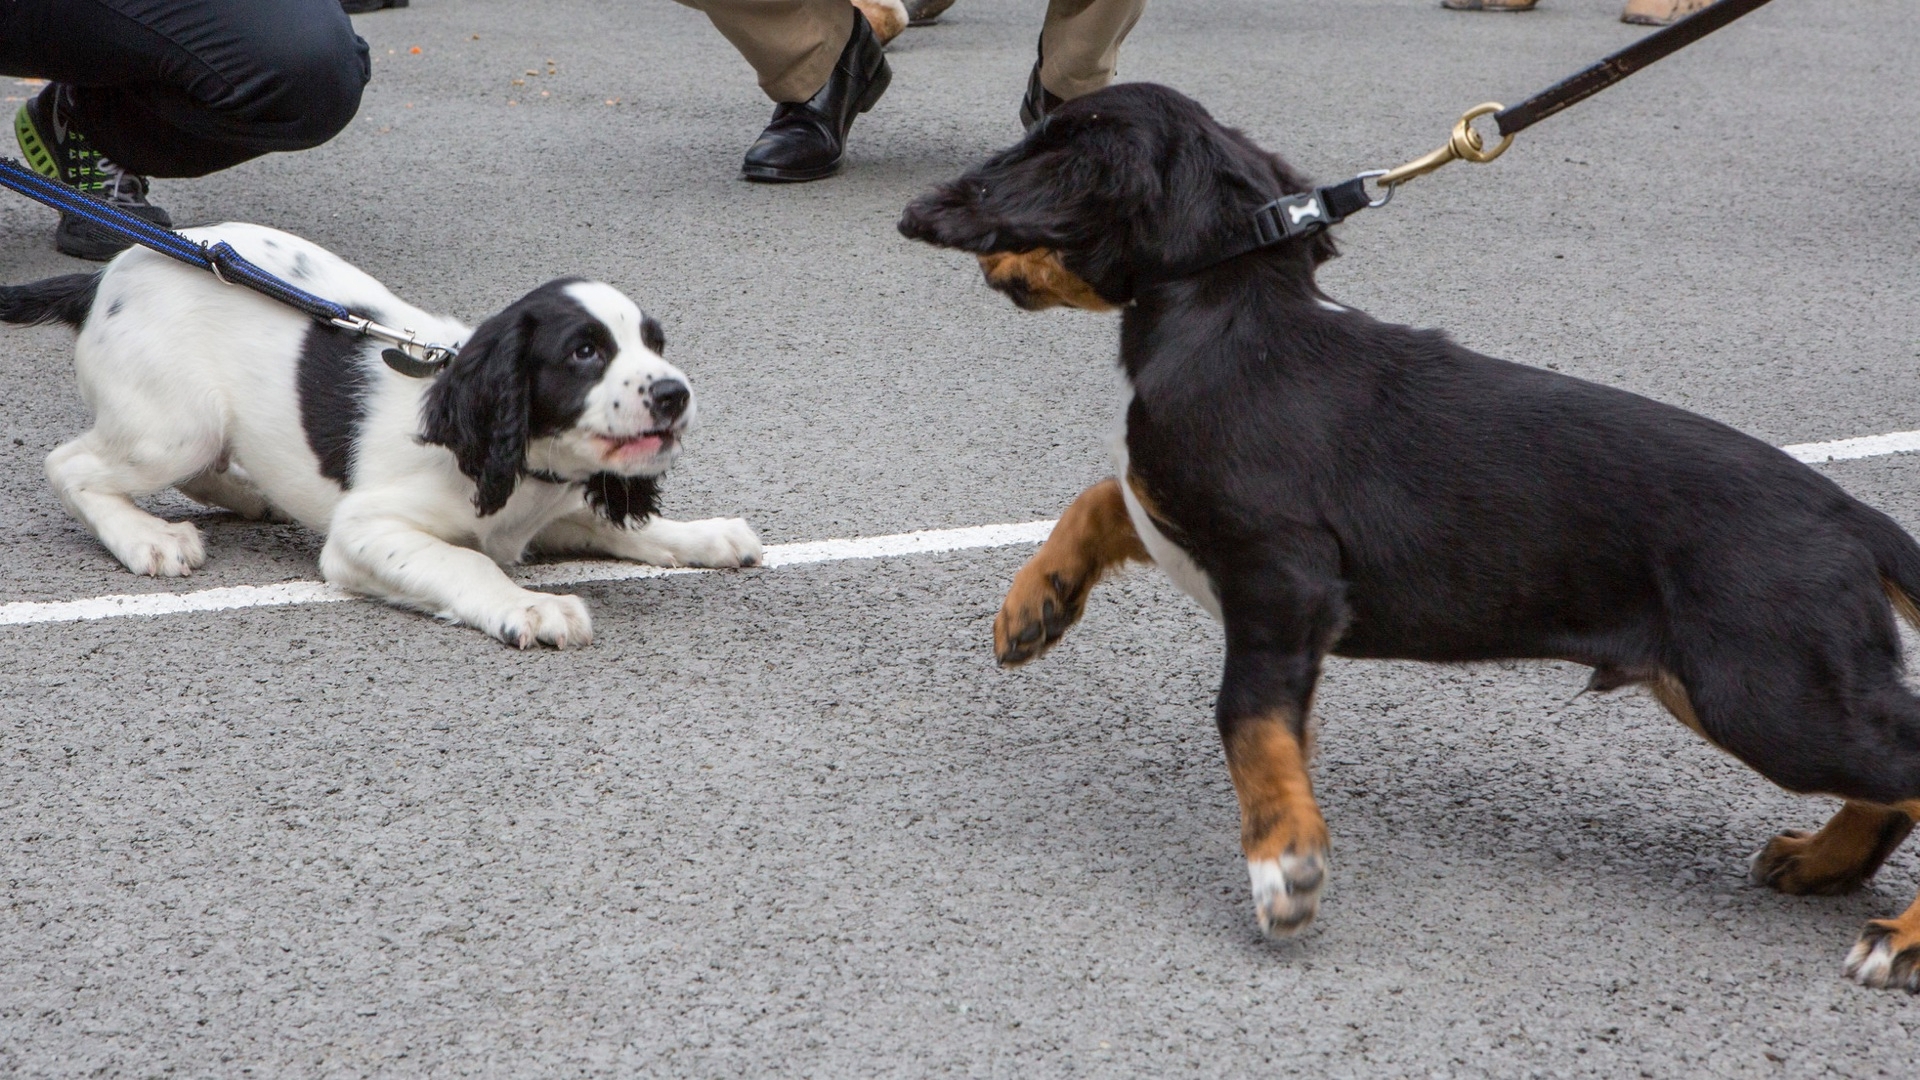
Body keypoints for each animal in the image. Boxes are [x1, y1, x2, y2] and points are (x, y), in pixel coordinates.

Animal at [0, 216, 764, 638]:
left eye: (655, 343)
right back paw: (147, 538)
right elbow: (465, 561)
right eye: (584, 352)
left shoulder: (536, 511)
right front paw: (533, 610)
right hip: (179, 425)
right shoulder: (363, 534)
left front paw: (706, 535)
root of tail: (102, 279)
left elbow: (615, 523)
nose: (674, 394)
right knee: (69, 464)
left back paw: (252, 495)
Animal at [902, 84, 1920, 991]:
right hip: (1729, 687)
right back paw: (1822, 862)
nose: (915, 215)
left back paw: (1899, 941)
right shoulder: (1190, 526)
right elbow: (1104, 498)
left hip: (1767, 693)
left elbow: (1244, 715)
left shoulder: (1283, 577)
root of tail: (1852, 518)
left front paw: (1285, 865)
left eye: (1038, 151)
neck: (1225, 309)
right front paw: (1032, 608)